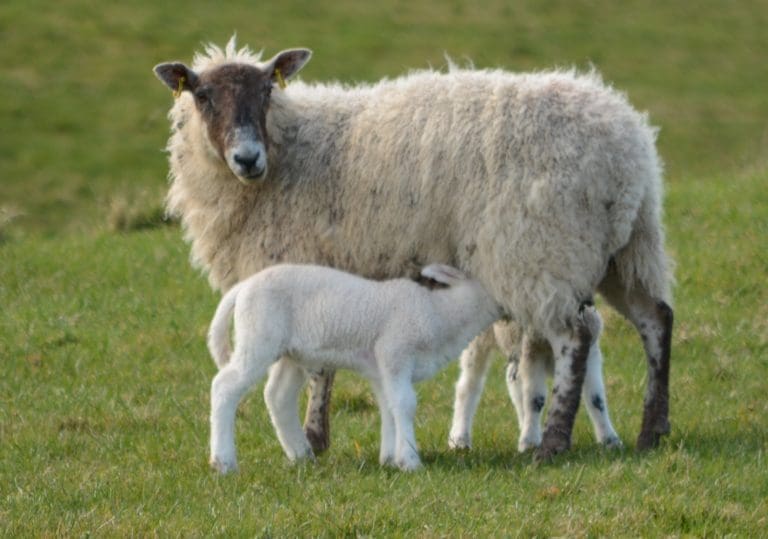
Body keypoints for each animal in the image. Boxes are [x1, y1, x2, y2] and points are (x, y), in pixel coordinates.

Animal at [206, 263, 502, 472]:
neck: (440, 314)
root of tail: (242, 288)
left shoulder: (380, 367)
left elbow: (389, 407)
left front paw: (390, 458)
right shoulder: (395, 352)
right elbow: (405, 404)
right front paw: (410, 460)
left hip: (291, 352)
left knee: (278, 395)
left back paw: (301, 455)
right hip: (258, 336)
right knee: (224, 386)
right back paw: (223, 461)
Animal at [448, 317, 622, 454]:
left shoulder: (589, 351)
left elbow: (596, 400)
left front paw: (610, 440)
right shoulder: (533, 347)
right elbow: (536, 400)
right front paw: (529, 443)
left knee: (513, 383)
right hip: (479, 337)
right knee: (468, 385)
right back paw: (460, 440)